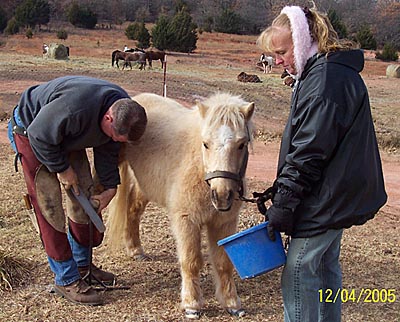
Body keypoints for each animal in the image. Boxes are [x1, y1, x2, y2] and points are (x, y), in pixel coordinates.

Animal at [107, 92, 253, 320]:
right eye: (206, 144)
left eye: (242, 144)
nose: (221, 195)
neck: (199, 168)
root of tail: (136, 98)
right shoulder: (187, 221)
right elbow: (191, 261)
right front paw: (192, 305)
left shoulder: (223, 223)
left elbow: (223, 263)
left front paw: (232, 303)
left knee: (133, 210)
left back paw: (136, 250)